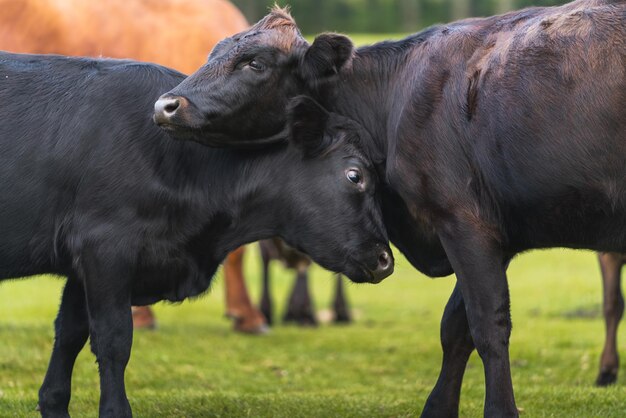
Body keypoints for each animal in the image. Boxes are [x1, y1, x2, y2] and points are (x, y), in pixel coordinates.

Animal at [0, 52, 390, 418]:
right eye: (355, 175)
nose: (386, 259)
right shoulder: (104, 249)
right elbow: (113, 338)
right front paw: (115, 410)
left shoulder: (81, 265)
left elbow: (69, 333)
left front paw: (53, 403)